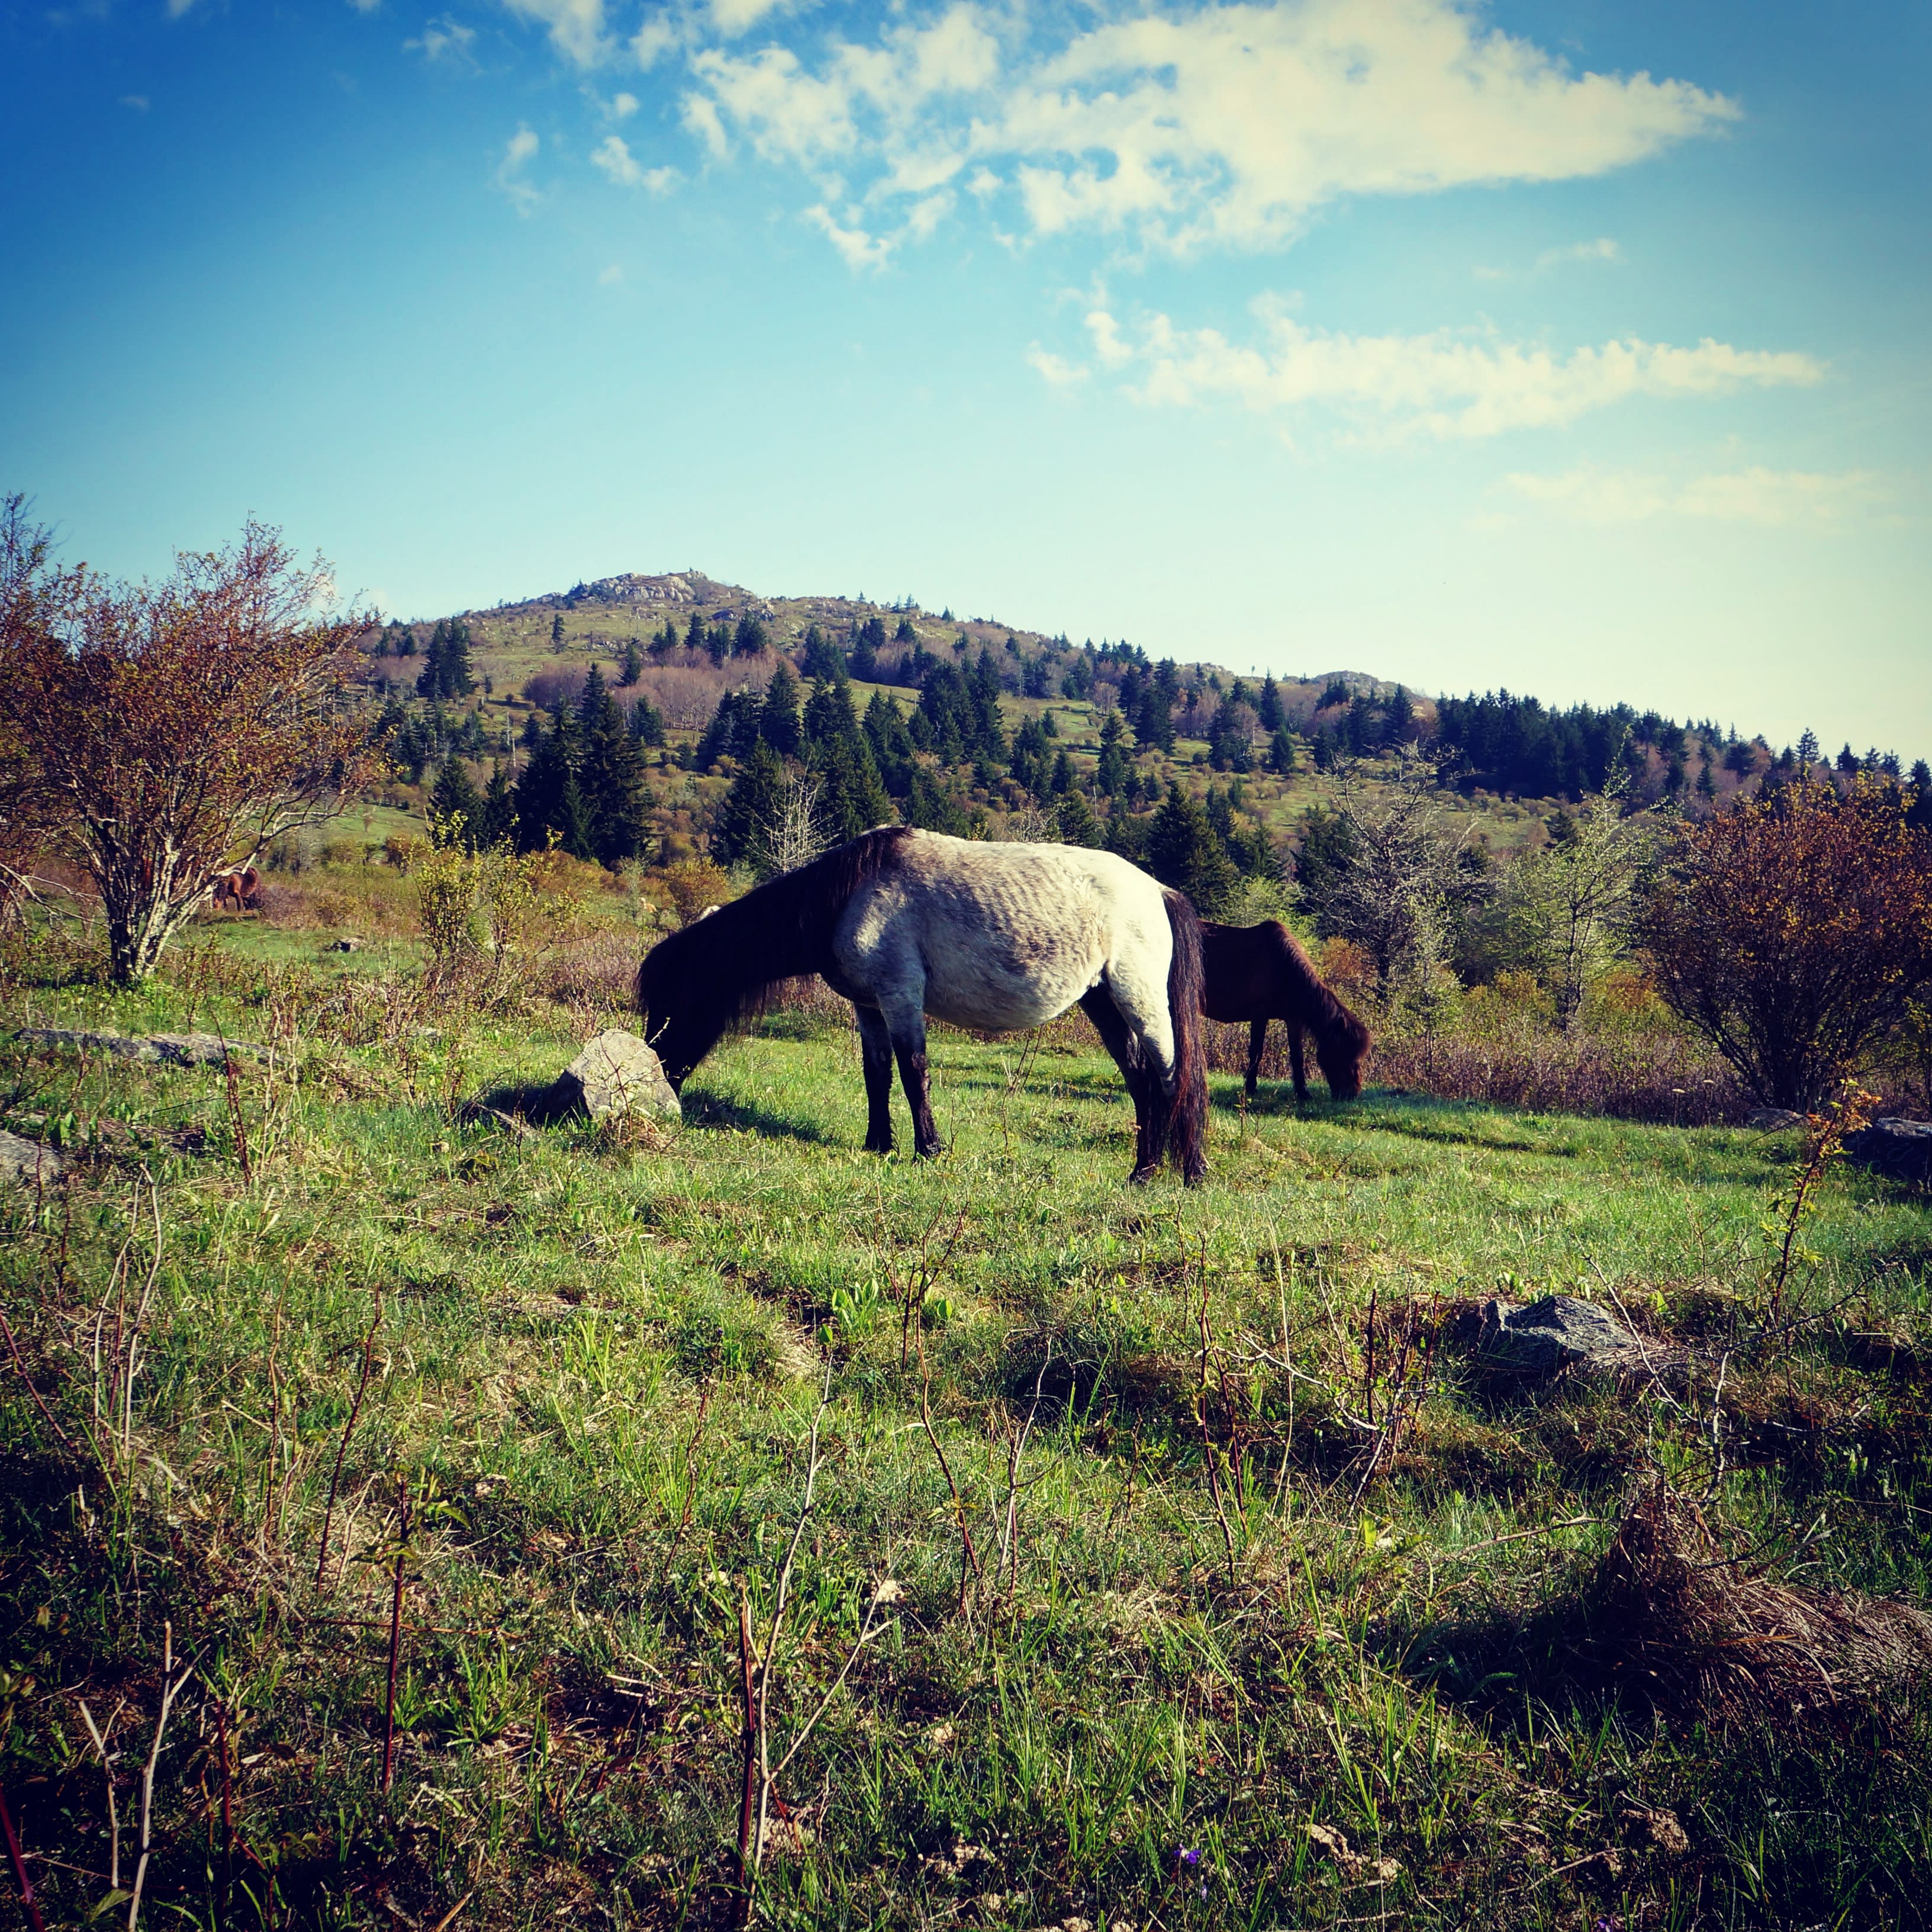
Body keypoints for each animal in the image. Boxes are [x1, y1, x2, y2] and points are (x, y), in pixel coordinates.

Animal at [638, 826, 1209, 1185]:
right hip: (1102, 1002)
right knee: (1141, 1083)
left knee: (1172, 1078)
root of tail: (1158, 891)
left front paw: (928, 1150)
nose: (655, 1074)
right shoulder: (869, 1006)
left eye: (672, 1005)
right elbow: (877, 1074)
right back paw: (1143, 1171)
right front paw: (879, 1144)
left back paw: (1189, 1172)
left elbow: (914, 1071)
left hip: (1139, 999)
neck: (848, 895)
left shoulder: (900, 995)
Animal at [1200, 919, 1370, 1104]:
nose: (1351, 1094)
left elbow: (1297, 1055)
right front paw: (1250, 1088)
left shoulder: (1294, 1019)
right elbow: (1257, 1051)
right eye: (1343, 1053)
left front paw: (1303, 1093)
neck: (1282, 967)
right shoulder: (1259, 1015)